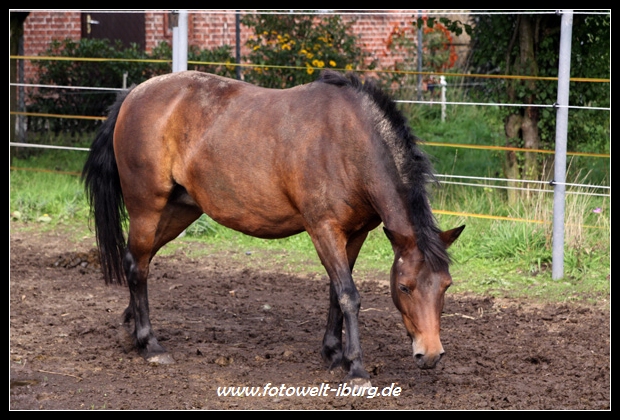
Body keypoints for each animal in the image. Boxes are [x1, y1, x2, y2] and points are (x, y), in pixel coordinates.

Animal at [81, 69, 460, 388]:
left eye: (446, 286)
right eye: (405, 287)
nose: (430, 354)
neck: (348, 142)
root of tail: (133, 94)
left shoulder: (355, 234)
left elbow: (336, 293)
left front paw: (333, 353)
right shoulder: (323, 229)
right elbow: (348, 295)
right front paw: (355, 368)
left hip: (178, 211)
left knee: (140, 261)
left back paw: (130, 328)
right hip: (147, 208)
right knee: (137, 266)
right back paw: (150, 344)